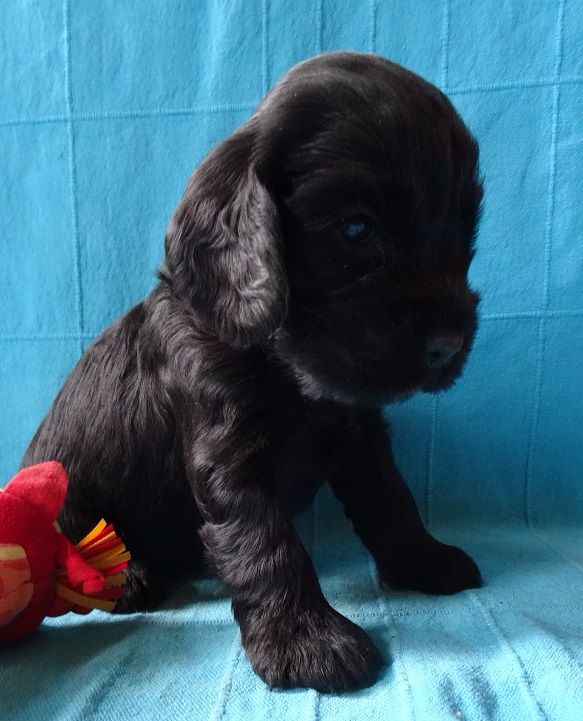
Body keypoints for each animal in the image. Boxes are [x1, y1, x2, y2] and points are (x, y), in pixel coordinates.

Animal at [23, 52, 484, 692]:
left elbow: (392, 498)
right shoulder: (228, 453)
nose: (448, 344)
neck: (284, 361)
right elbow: (264, 544)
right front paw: (309, 643)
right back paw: (132, 576)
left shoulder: (360, 431)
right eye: (357, 229)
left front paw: (425, 560)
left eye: (464, 229)